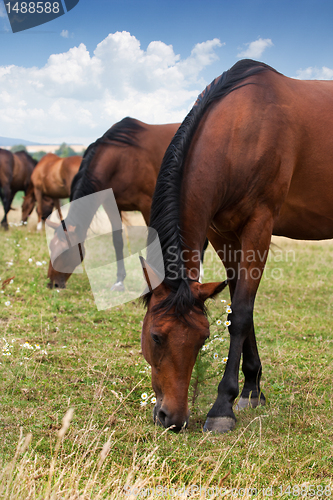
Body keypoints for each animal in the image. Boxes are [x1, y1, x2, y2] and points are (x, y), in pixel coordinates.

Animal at [46, 117, 179, 290]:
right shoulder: (111, 204)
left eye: (66, 252)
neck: (122, 159)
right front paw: (119, 280)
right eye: (51, 247)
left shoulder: (147, 205)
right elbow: (117, 241)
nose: (52, 283)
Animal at [139, 59, 332, 434]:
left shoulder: (259, 226)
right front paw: (252, 389)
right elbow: (239, 308)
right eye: (155, 337)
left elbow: (241, 312)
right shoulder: (223, 234)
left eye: (201, 340)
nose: (172, 418)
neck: (242, 130)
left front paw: (222, 406)